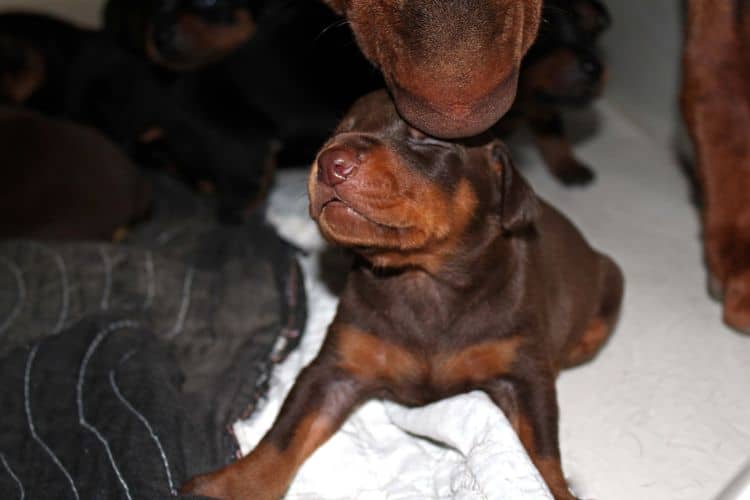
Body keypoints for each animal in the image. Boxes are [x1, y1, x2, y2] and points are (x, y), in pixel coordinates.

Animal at [181, 91, 624, 500]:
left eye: (426, 139)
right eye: (339, 130)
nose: (329, 161)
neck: (421, 280)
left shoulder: (524, 374)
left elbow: (541, 453)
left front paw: (556, 490)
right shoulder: (336, 368)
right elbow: (285, 433)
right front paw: (231, 486)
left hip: (610, 281)